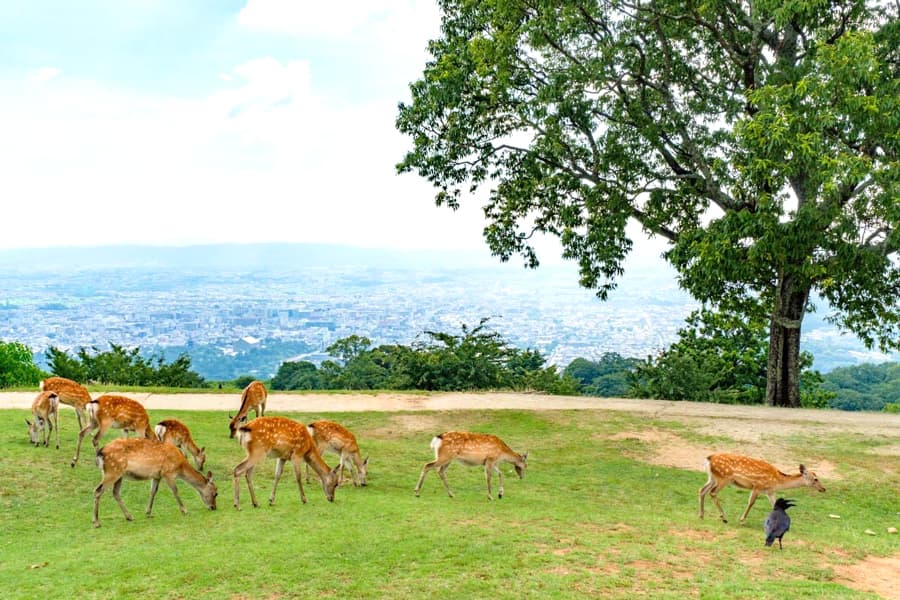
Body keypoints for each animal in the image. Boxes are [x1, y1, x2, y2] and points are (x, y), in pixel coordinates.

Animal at [700, 452, 828, 524]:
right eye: (815, 479)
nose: (823, 489)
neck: (777, 481)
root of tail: (708, 458)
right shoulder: (757, 486)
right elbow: (751, 502)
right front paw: (742, 520)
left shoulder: (770, 491)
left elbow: (774, 505)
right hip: (723, 478)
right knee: (712, 492)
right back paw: (724, 518)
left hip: (712, 478)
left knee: (702, 490)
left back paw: (701, 515)